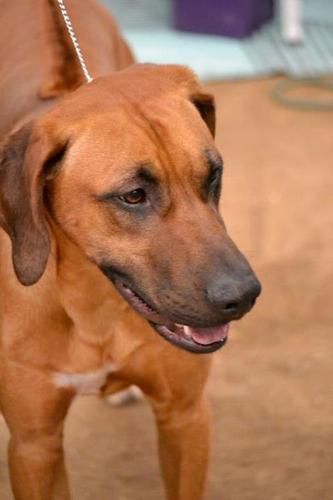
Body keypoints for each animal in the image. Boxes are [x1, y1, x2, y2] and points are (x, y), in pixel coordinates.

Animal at [0, 0, 260, 500]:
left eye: (214, 174)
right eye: (133, 196)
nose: (242, 297)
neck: (90, 303)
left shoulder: (186, 416)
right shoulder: (34, 445)